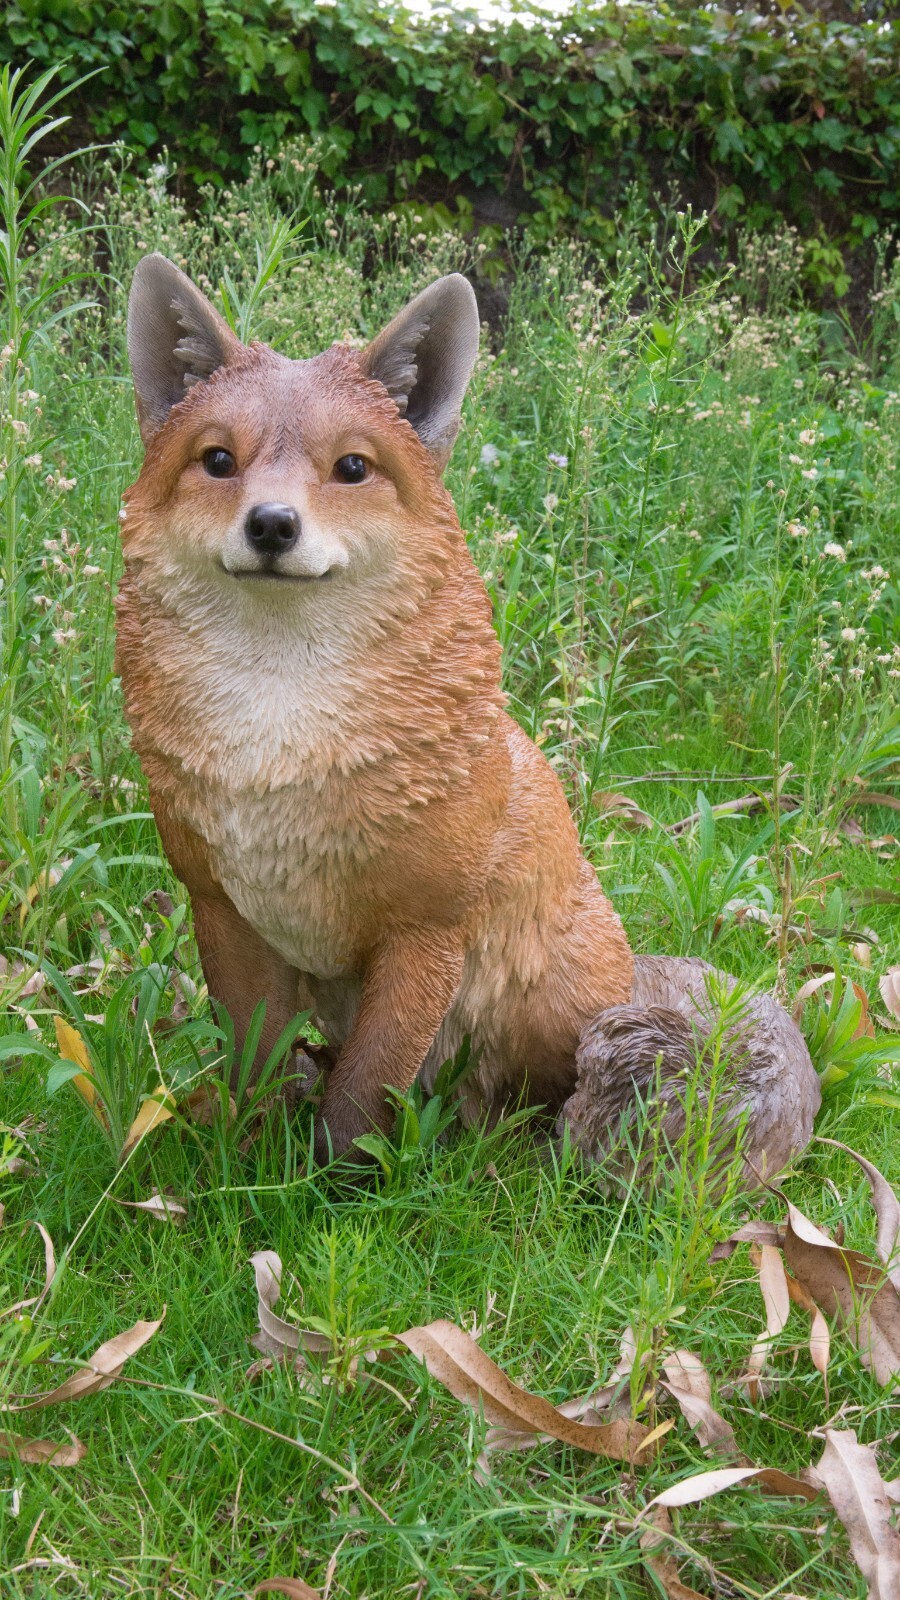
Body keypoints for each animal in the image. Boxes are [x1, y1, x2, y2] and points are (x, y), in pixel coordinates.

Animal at [117, 254, 820, 1175]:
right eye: (217, 460)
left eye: (351, 468)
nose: (271, 524)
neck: (277, 747)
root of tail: (631, 970)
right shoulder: (225, 912)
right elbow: (255, 1074)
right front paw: (248, 1168)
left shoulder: (425, 931)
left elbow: (362, 1097)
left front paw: (330, 1193)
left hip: (540, 1016)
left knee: (513, 1107)